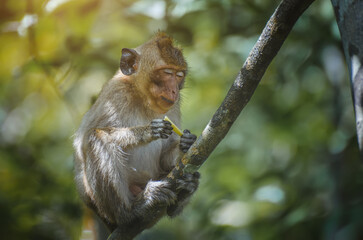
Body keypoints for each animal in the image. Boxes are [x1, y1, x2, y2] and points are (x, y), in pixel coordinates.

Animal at [72, 32, 200, 240]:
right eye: (167, 73)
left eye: (179, 75)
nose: (174, 90)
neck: (142, 98)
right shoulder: (114, 95)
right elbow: (84, 141)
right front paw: (147, 131)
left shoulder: (174, 106)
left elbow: (167, 158)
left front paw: (185, 143)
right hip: (103, 205)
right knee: (95, 139)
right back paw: (133, 209)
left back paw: (187, 187)